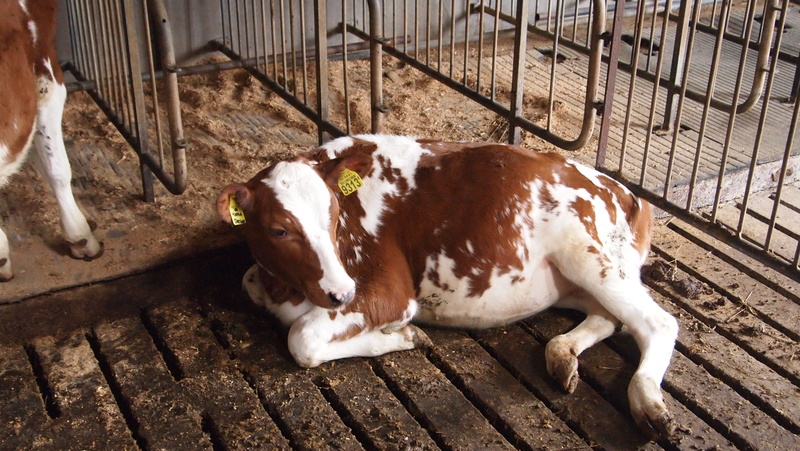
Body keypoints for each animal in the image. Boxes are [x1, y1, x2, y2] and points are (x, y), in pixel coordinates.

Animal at [216, 134, 678, 439]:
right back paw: (563, 354)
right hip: (578, 278)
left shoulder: (390, 290)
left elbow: (303, 338)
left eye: (333, 213)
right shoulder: (269, 279)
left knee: (658, 323)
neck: (288, 289)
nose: (340, 293)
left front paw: (402, 337)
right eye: (278, 230)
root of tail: (627, 191)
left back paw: (648, 402)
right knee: (610, 318)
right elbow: (248, 281)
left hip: (587, 251)